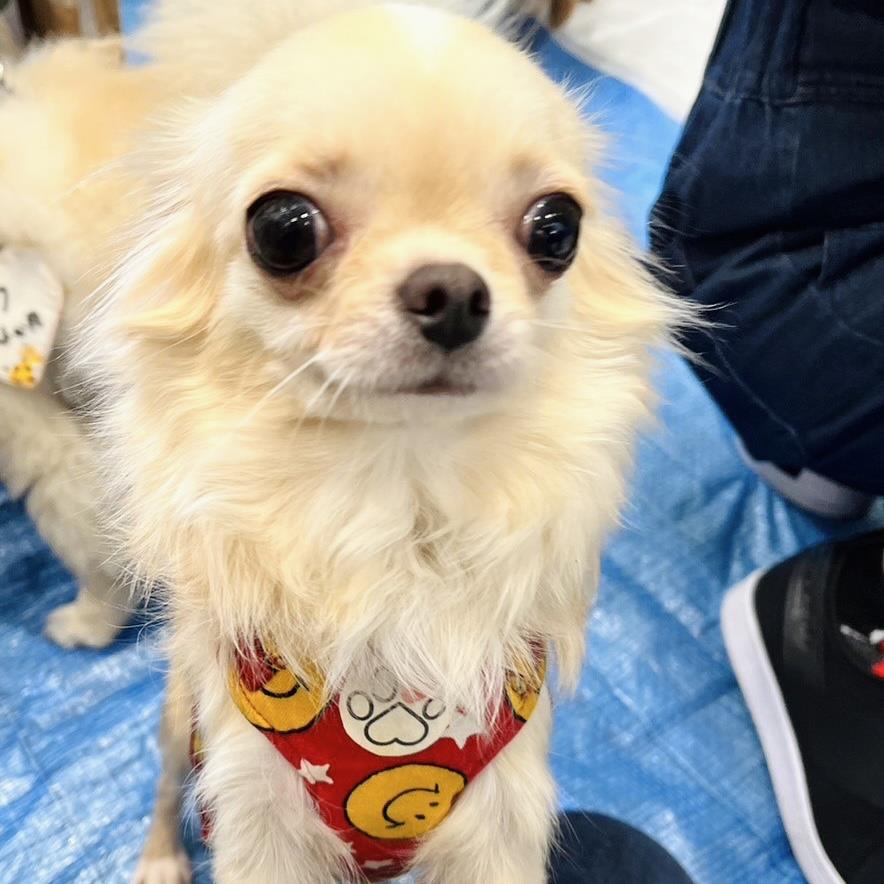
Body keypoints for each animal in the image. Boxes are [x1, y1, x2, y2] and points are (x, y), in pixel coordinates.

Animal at [10, 1, 677, 881]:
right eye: (284, 230)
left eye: (556, 229)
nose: (452, 291)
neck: (397, 500)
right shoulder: (255, 815)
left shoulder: (499, 821)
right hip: (182, 709)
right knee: (163, 786)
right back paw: (159, 859)